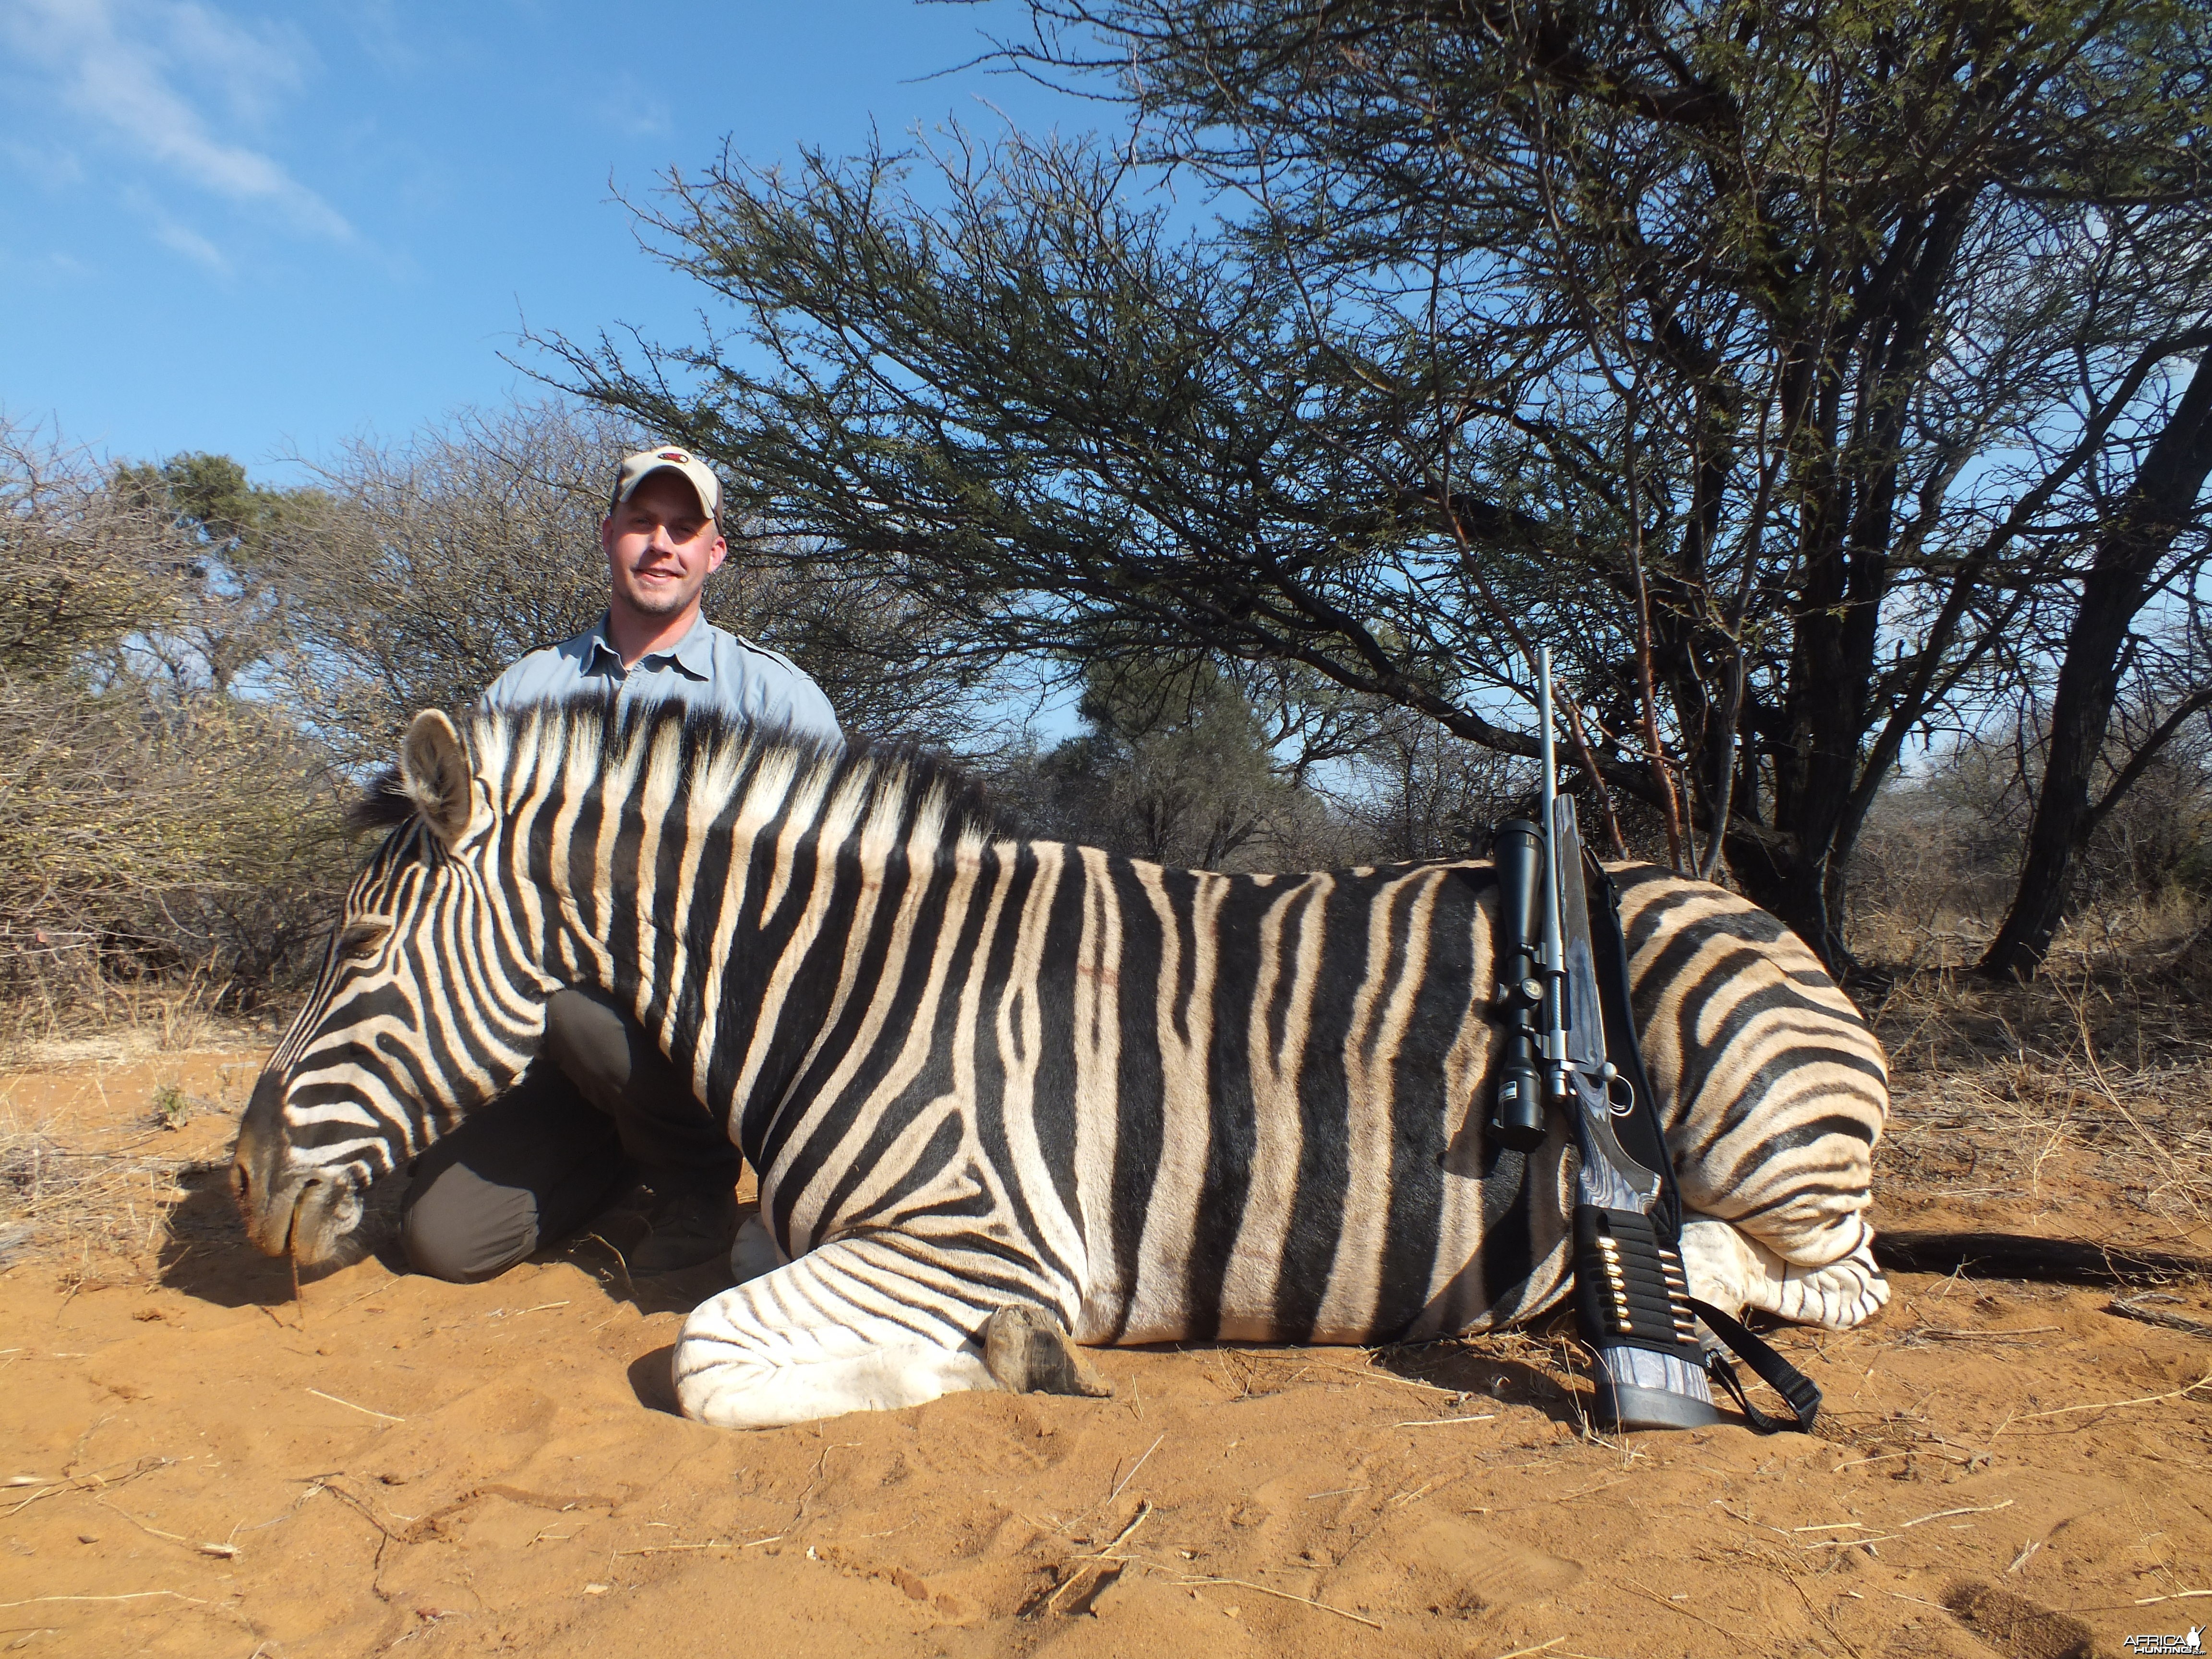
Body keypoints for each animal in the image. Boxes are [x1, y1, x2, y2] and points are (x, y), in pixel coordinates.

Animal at [233, 699, 1893, 1433]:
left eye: (357, 951)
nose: (243, 1182)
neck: (844, 982)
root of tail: (1744, 907)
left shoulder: (973, 1234)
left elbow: (703, 1357)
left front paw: (1013, 1354)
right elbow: (745, 1265)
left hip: (1762, 1133)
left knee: (1824, 1272)